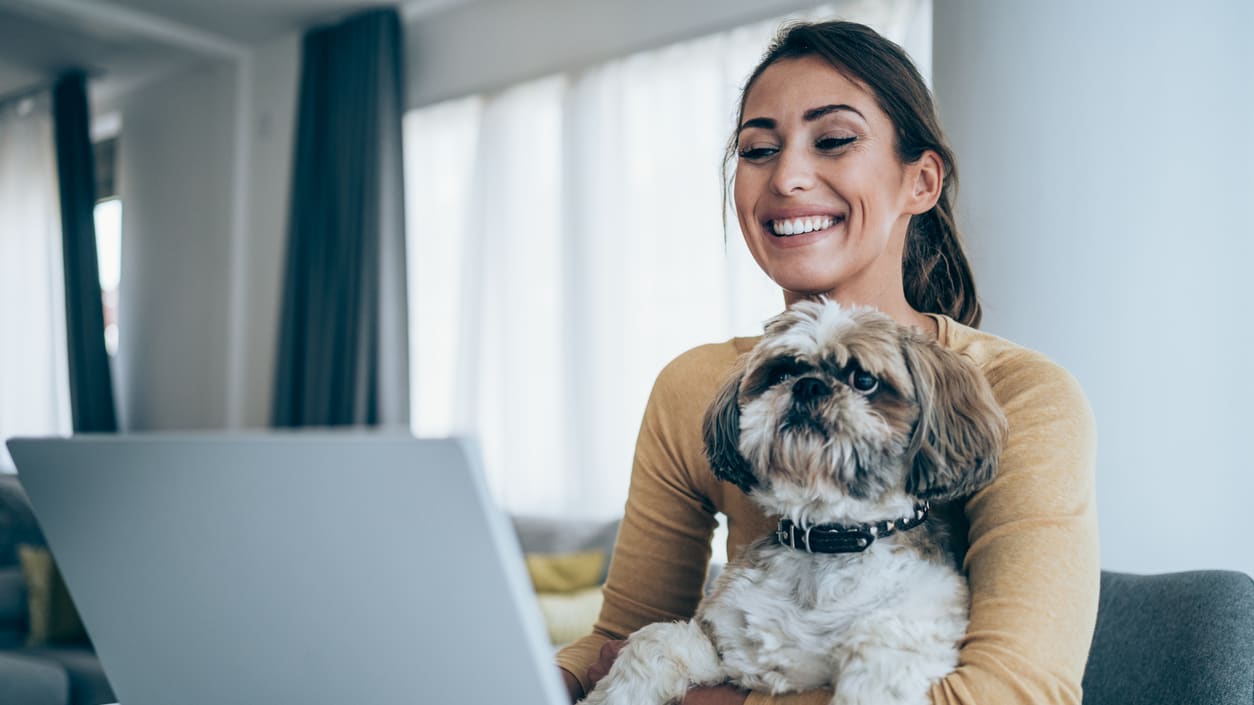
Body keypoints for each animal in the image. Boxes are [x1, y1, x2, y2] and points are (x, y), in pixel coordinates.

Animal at [581, 298, 1003, 702]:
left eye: (865, 380)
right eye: (781, 374)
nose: (808, 385)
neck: (829, 541)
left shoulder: (918, 616)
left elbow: (882, 649)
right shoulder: (726, 648)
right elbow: (652, 643)